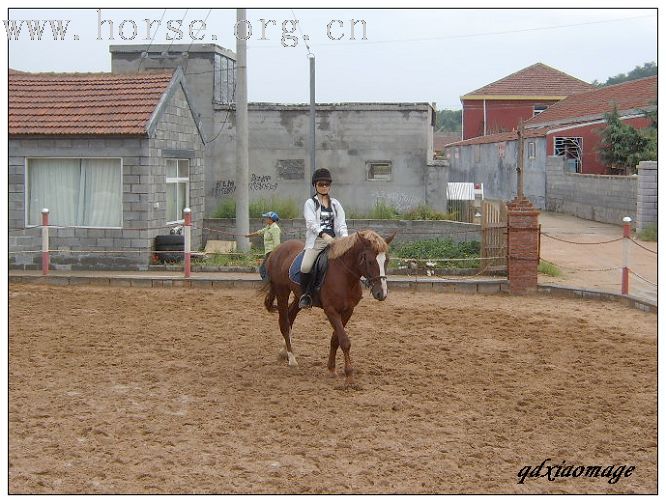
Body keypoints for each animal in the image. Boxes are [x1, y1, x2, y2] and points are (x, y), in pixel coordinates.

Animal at [260, 230, 394, 388]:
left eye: (386, 260)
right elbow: (344, 341)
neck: (345, 275)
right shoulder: (331, 310)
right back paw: (292, 358)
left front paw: (331, 369)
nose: (382, 293)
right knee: (285, 324)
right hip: (282, 292)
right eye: (369, 261)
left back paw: (284, 352)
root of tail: (278, 249)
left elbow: (335, 339)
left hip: (299, 296)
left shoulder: (348, 311)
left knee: (290, 316)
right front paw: (349, 377)